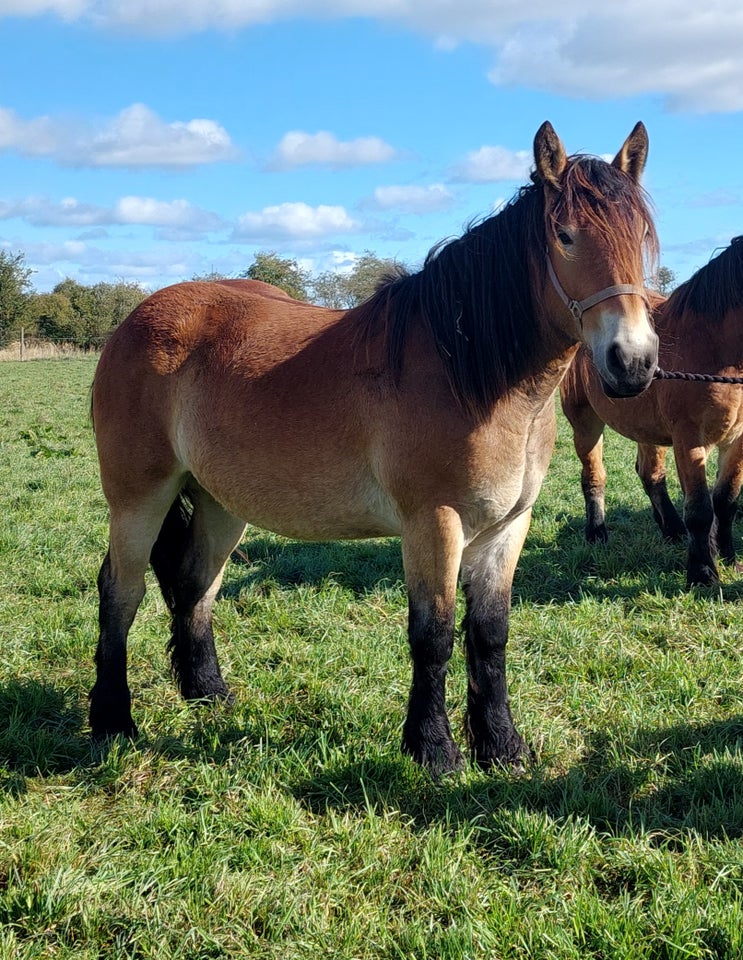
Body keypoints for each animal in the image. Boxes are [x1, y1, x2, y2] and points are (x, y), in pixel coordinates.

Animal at [88, 122, 656, 780]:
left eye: (642, 236)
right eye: (564, 235)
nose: (633, 361)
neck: (468, 372)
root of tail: (134, 321)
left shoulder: (508, 525)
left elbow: (490, 633)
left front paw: (502, 746)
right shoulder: (434, 523)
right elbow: (433, 634)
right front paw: (433, 750)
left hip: (219, 502)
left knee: (196, 584)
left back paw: (208, 693)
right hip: (138, 498)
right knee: (120, 591)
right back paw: (112, 721)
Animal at [560, 236, 743, 588]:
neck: (715, 347)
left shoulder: (737, 440)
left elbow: (726, 500)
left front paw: (727, 555)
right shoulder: (689, 437)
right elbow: (700, 509)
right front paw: (702, 573)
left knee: (651, 474)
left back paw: (672, 530)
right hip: (585, 422)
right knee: (594, 476)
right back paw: (597, 534)